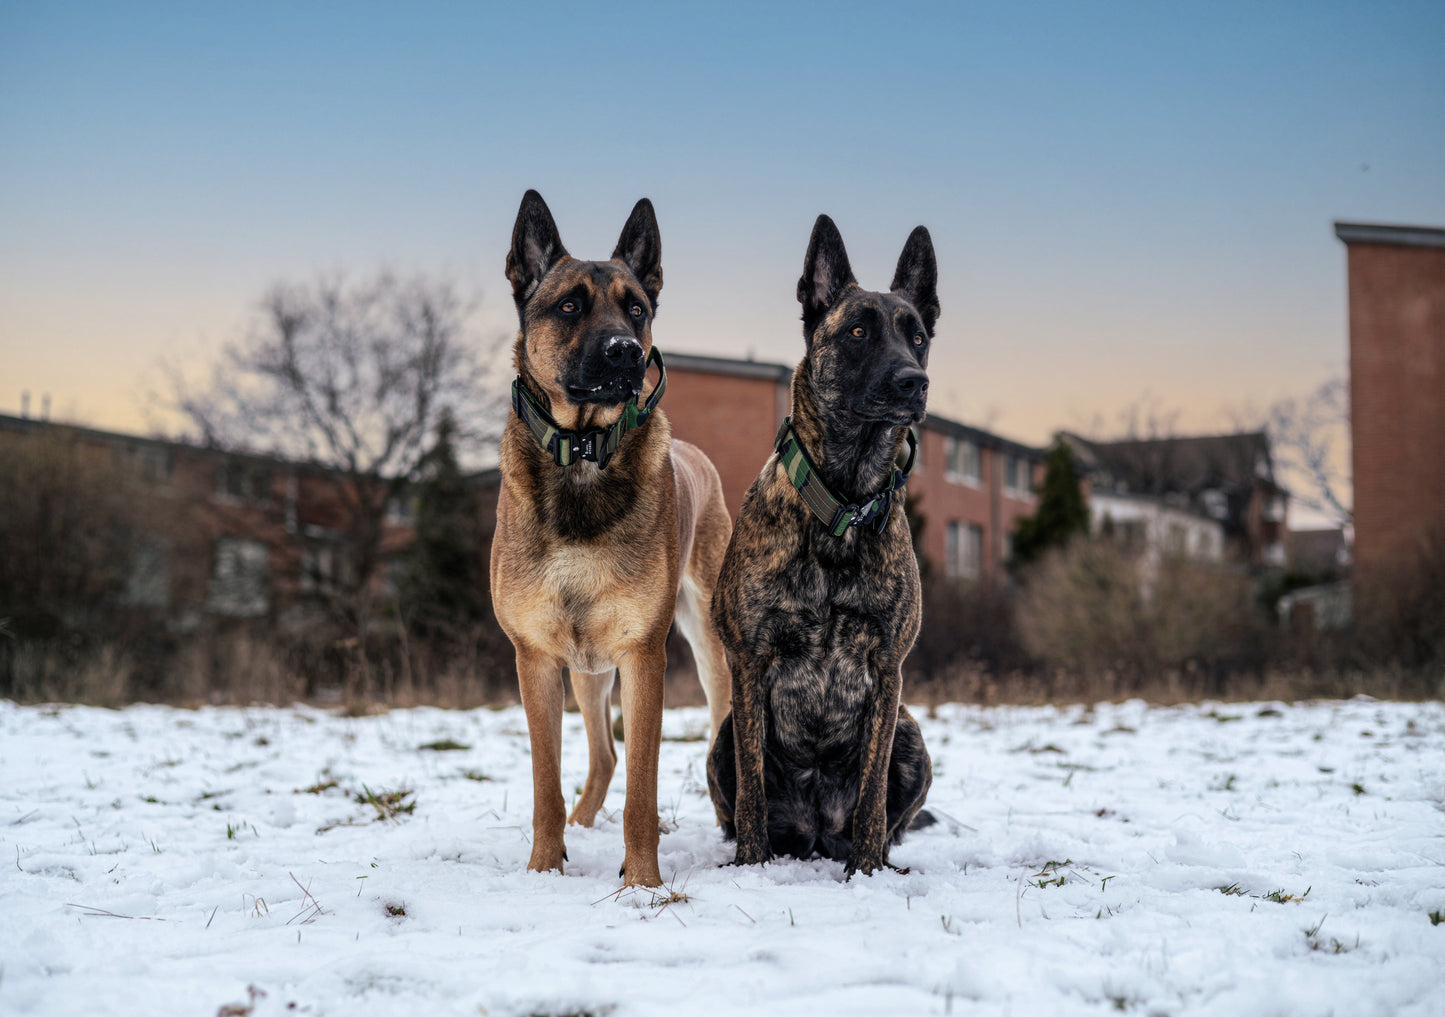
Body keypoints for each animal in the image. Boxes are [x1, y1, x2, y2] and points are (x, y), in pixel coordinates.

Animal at [491, 190, 734, 889]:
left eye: (637, 308)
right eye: (569, 305)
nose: (626, 351)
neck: (582, 453)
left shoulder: (642, 655)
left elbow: (643, 790)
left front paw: (643, 883)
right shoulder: (537, 659)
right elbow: (545, 782)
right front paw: (544, 869)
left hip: (706, 646)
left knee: (713, 729)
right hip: (587, 670)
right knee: (603, 757)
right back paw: (580, 823)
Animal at [708, 212, 936, 872]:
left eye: (918, 336)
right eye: (858, 331)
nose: (914, 382)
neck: (843, 505)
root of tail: (813, 833)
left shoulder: (888, 668)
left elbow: (873, 793)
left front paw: (868, 872)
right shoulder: (749, 660)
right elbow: (752, 789)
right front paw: (751, 867)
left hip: (912, 734)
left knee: (887, 810)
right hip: (721, 736)